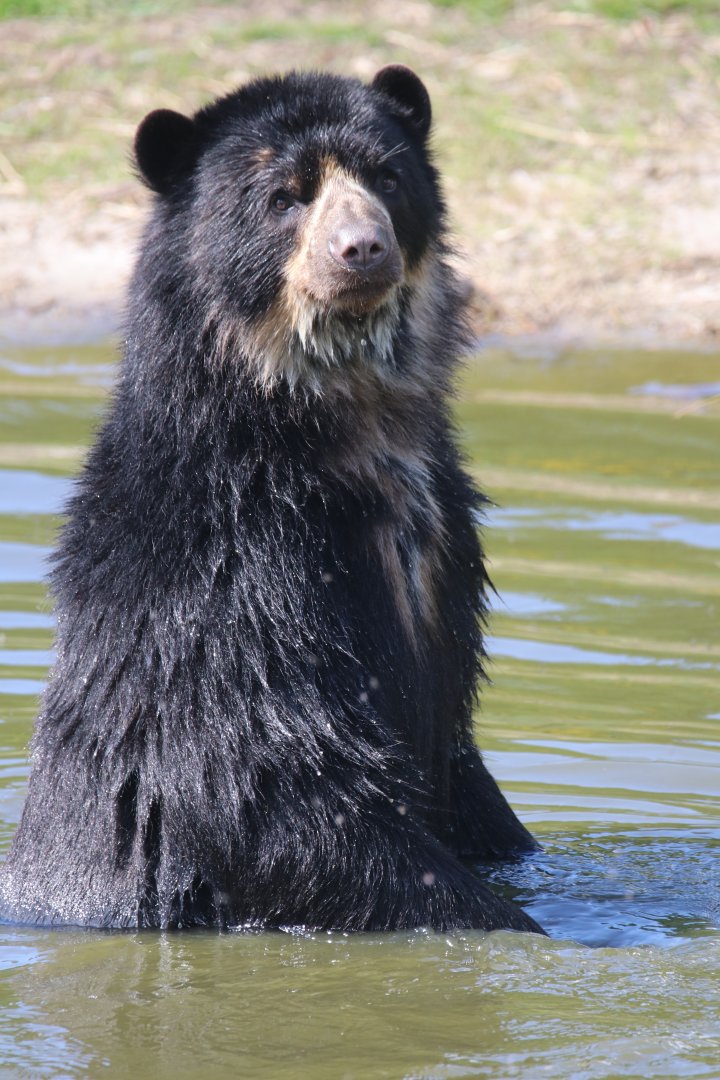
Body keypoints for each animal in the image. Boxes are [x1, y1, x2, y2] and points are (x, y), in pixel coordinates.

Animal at [0, 66, 542, 934]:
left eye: (388, 177)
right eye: (285, 196)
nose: (362, 249)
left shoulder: (447, 542)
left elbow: (461, 770)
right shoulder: (233, 564)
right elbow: (265, 780)